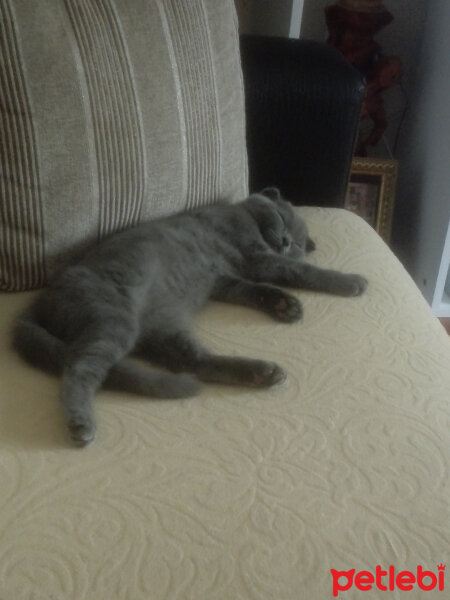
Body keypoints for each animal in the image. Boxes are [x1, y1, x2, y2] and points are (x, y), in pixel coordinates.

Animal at [13, 190, 366, 448]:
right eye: (282, 219)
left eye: (296, 242)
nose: (285, 242)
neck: (244, 217)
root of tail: (40, 300)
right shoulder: (255, 255)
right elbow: (302, 271)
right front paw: (351, 282)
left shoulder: (224, 280)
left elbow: (255, 290)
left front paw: (285, 305)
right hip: (111, 317)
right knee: (78, 369)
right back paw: (81, 424)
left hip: (162, 328)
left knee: (194, 362)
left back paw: (263, 373)